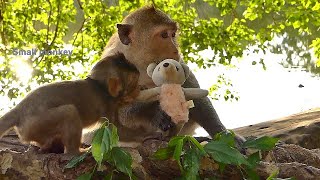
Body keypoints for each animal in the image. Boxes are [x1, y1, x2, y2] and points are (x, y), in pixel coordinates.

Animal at [0, 53, 140, 155]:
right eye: (133, 82)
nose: (139, 89)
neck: (100, 86)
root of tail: (19, 109)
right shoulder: (108, 104)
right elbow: (115, 129)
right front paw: (144, 136)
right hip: (35, 123)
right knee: (69, 111)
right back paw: (75, 152)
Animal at [93, 5, 245, 145]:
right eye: (164, 35)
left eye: (173, 34)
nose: (176, 50)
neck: (140, 66)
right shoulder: (109, 67)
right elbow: (116, 114)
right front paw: (154, 111)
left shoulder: (179, 63)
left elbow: (196, 97)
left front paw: (224, 135)